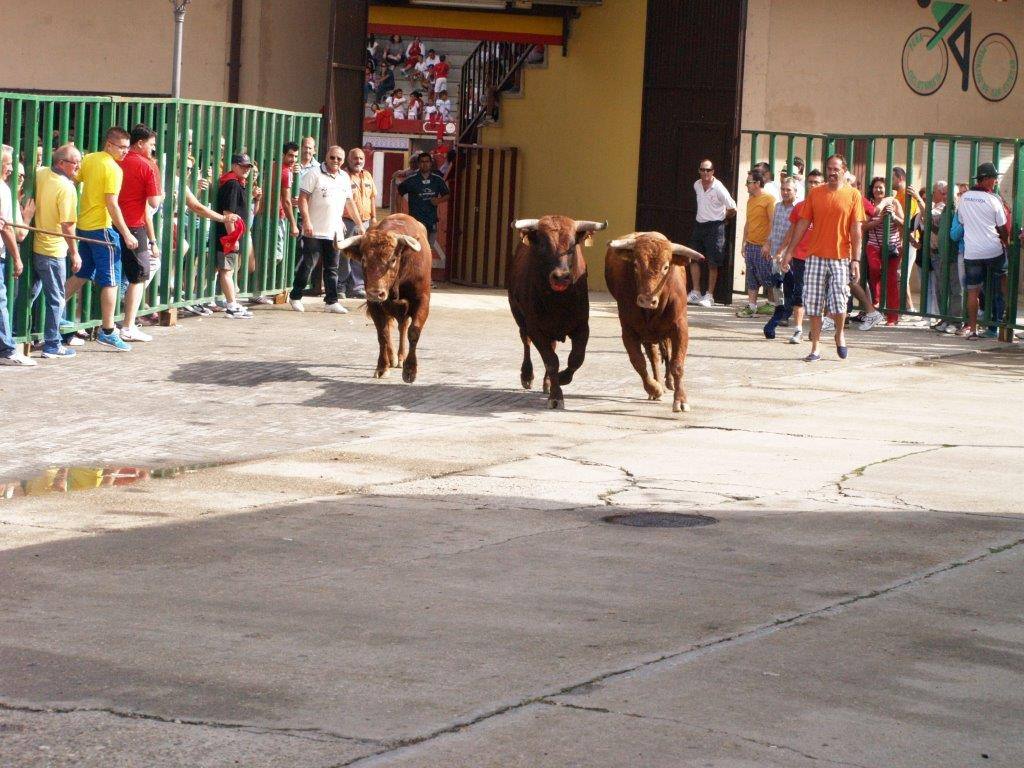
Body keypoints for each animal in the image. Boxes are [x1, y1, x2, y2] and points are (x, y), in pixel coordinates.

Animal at [337, 214, 430, 385]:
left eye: (392, 259)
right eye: (364, 260)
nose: (375, 293)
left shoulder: (422, 300)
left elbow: (413, 332)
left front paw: (410, 370)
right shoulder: (375, 306)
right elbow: (383, 334)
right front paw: (382, 368)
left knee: (403, 328)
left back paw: (401, 358)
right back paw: (393, 358)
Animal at [505, 215, 602, 409]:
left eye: (572, 245)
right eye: (543, 245)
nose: (561, 277)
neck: (558, 301)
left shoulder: (582, 326)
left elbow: (576, 358)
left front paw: (562, 378)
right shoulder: (535, 328)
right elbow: (551, 361)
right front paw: (556, 396)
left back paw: (548, 381)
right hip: (519, 316)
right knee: (526, 341)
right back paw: (527, 376)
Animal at [606, 231, 704, 415]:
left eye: (666, 267)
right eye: (635, 264)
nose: (646, 300)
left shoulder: (680, 328)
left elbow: (677, 364)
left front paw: (681, 400)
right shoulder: (628, 330)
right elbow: (638, 362)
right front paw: (654, 388)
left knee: (666, 354)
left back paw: (669, 382)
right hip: (647, 334)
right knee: (654, 356)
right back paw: (658, 385)